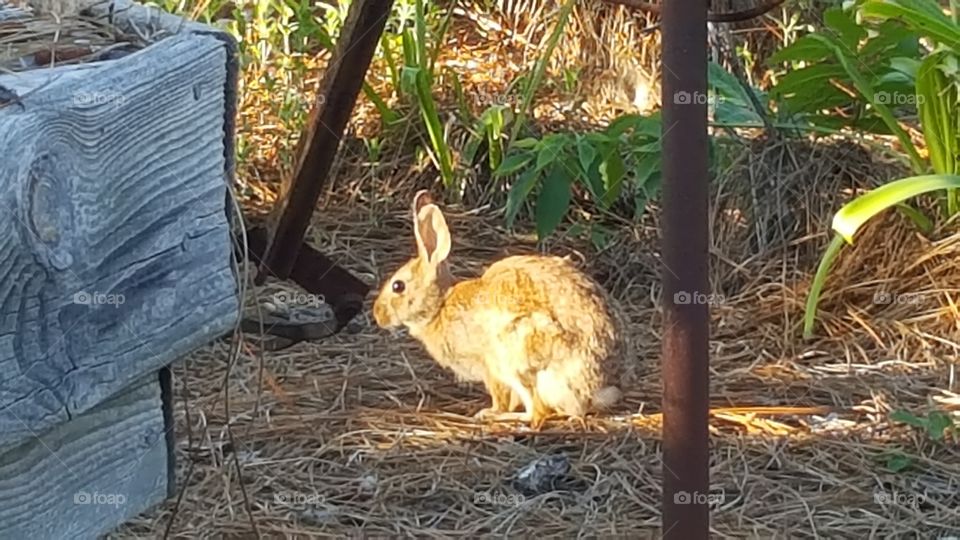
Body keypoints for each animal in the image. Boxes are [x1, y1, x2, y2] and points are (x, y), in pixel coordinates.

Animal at [372, 190, 627, 429]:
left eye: (398, 286)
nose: (377, 316)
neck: (439, 305)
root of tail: (597, 389)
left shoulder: (490, 366)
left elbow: (500, 396)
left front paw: (492, 411)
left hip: (520, 356)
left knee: (538, 413)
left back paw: (496, 417)